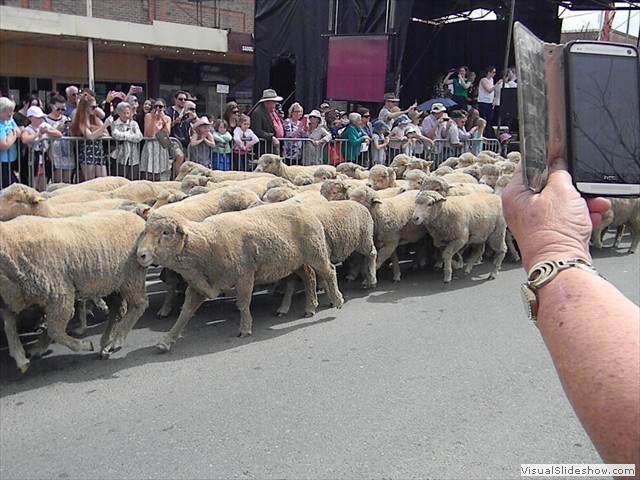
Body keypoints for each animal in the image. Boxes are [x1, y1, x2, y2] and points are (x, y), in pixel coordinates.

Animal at [0, 210, 149, 372]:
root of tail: (139, 219)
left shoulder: (60, 295)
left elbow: (54, 330)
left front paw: (84, 345)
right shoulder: (18, 297)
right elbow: (9, 324)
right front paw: (21, 357)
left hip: (132, 276)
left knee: (140, 304)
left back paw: (117, 340)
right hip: (109, 283)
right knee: (117, 311)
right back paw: (106, 344)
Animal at [136, 203, 344, 350]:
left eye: (166, 232)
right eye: (144, 232)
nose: (141, 255)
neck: (205, 245)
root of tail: (304, 207)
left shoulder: (245, 276)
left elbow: (242, 304)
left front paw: (245, 328)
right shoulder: (199, 285)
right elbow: (185, 313)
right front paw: (167, 340)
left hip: (315, 250)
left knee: (329, 271)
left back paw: (337, 300)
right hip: (296, 261)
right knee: (309, 277)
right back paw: (308, 307)